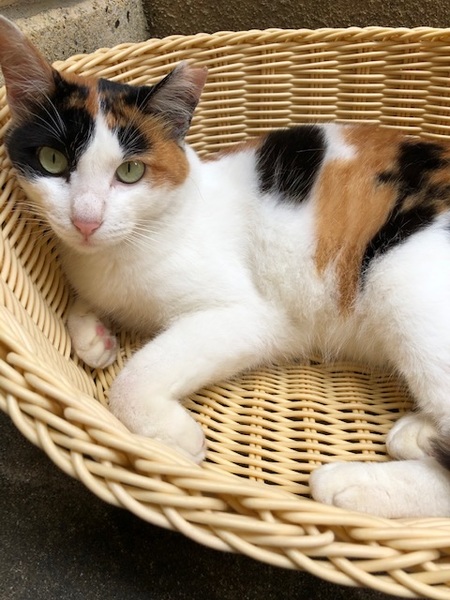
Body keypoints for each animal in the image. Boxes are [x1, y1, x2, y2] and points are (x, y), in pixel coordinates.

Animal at [1, 14, 450, 519]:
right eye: (52, 160)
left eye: (130, 172)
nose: (86, 219)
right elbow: (82, 305)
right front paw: (95, 337)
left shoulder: (253, 317)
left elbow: (135, 377)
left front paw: (176, 435)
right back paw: (417, 433)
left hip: (402, 282)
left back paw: (352, 483)